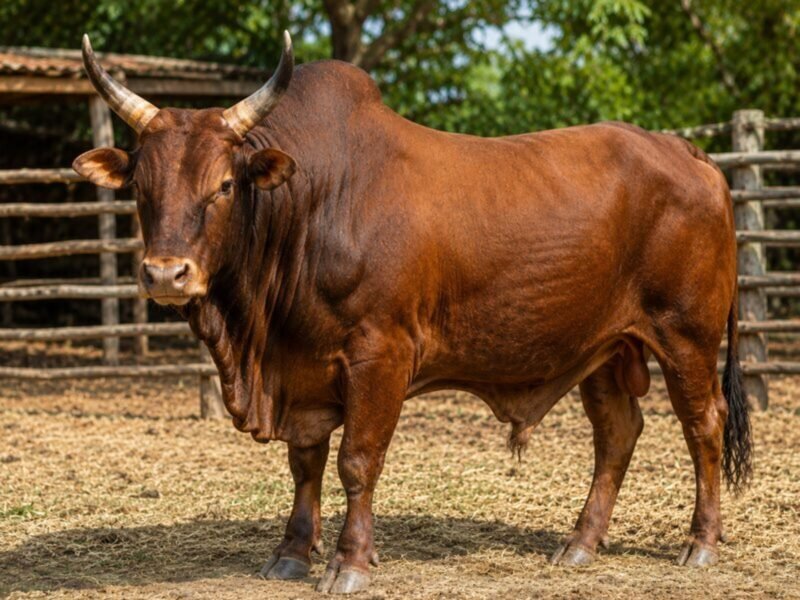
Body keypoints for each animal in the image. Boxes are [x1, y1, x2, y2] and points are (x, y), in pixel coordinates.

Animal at [73, 31, 752, 595]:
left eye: (223, 185)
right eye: (141, 188)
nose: (167, 274)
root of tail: (686, 150)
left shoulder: (380, 356)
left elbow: (356, 461)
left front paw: (349, 563)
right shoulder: (304, 370)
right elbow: (305, 464)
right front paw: (291, 553)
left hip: (687, 336)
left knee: (703, 425)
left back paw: (701, 544)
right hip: (605, 347)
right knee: (617, 432)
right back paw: (580, 543)